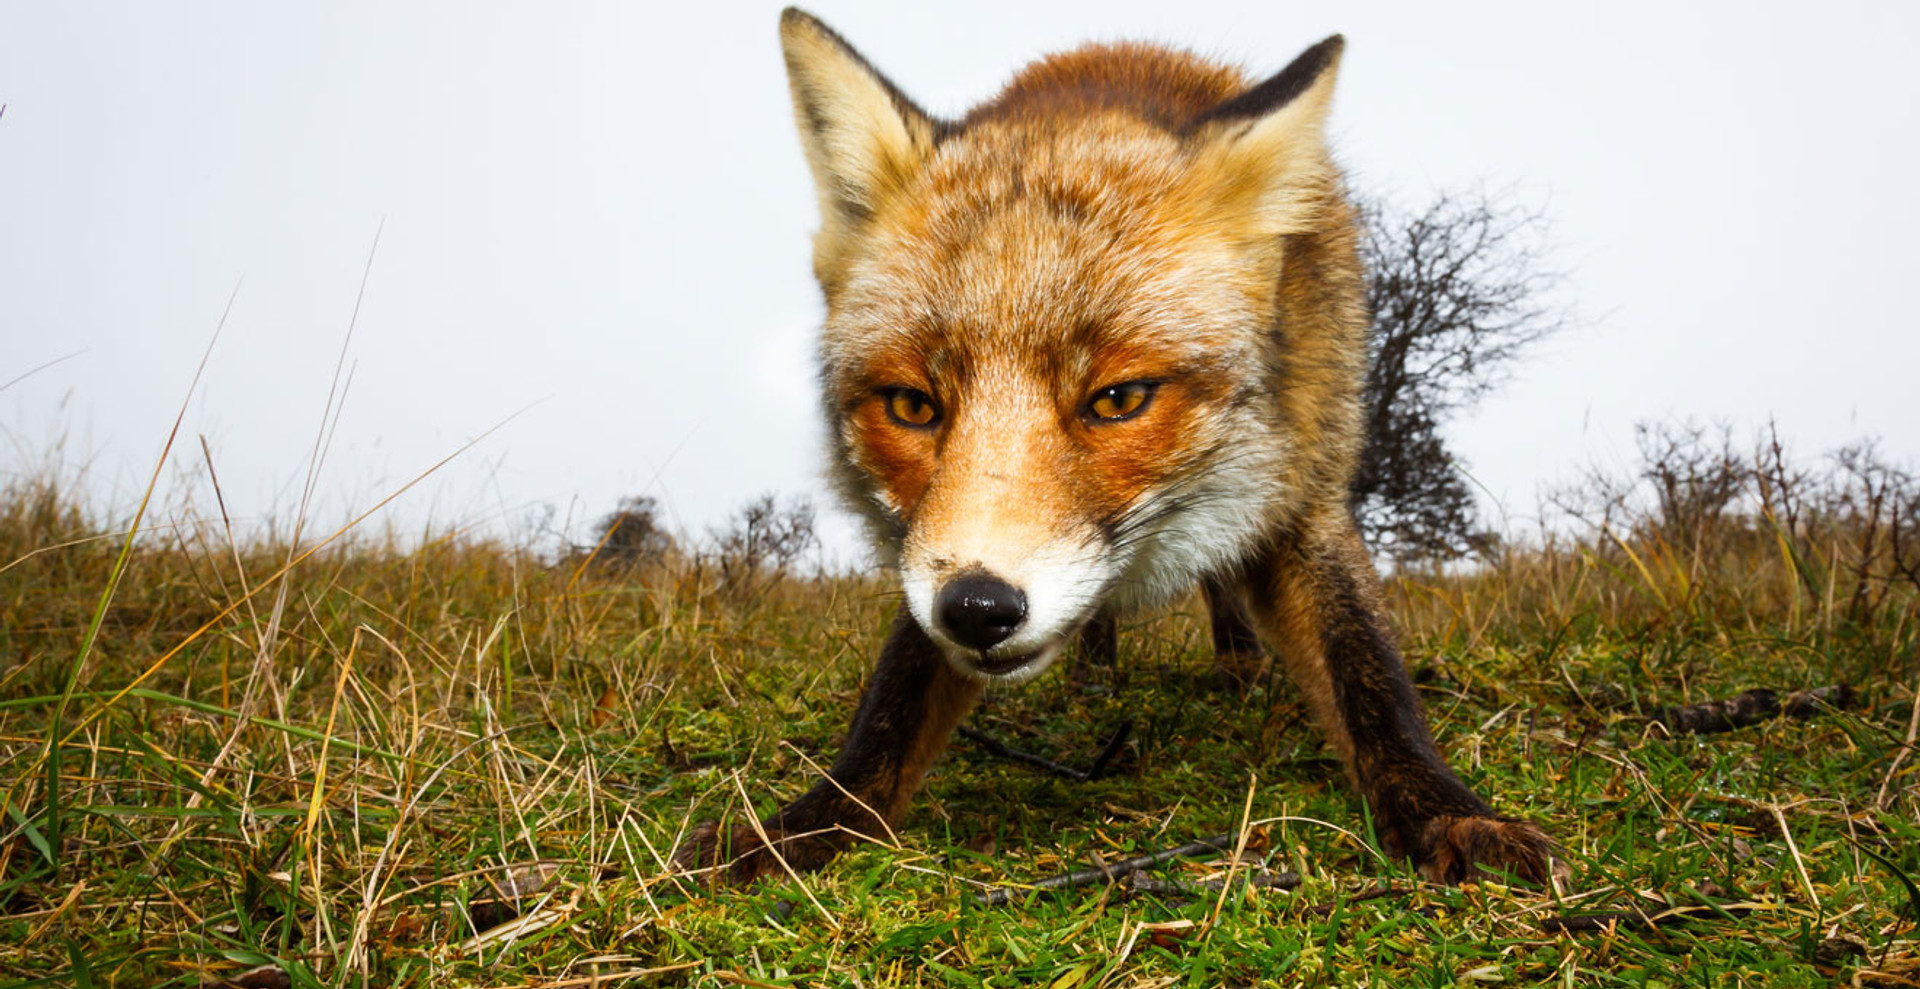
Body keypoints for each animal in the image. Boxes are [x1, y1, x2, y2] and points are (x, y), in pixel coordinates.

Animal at [675, 7, 1559, 891]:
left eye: (1119, 398)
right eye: (912, 405)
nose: (978, 609)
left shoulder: (1305, 493)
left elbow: (1370, 677)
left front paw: (1450, 811)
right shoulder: (926, 549)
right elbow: (889, 714)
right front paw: (796, 828)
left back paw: (1238, 664)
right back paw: (1096, 675)